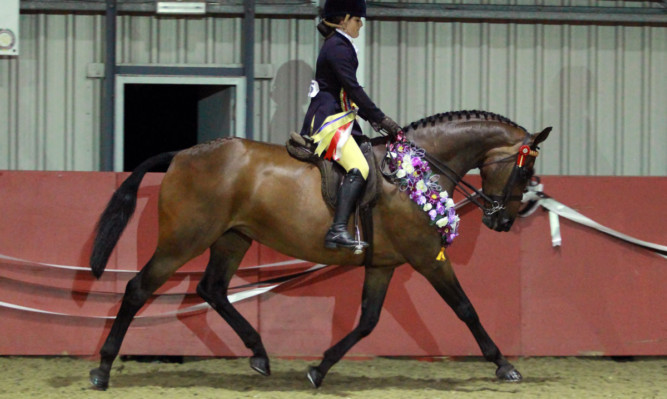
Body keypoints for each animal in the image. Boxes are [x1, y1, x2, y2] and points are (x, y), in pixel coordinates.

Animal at [88, 109, 552, 390]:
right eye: (525, 168)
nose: (503, 221)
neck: (417, 172)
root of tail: (184, 154)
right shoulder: (427, 258)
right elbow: (465, 309)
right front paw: (504, 365)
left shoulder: (383, 264)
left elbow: (367, 321)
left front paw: (318, 368)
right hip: (184, 239)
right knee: (138, 289)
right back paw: (103, 370)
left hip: (233, 237)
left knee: (213, 289)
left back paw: (260, 355)